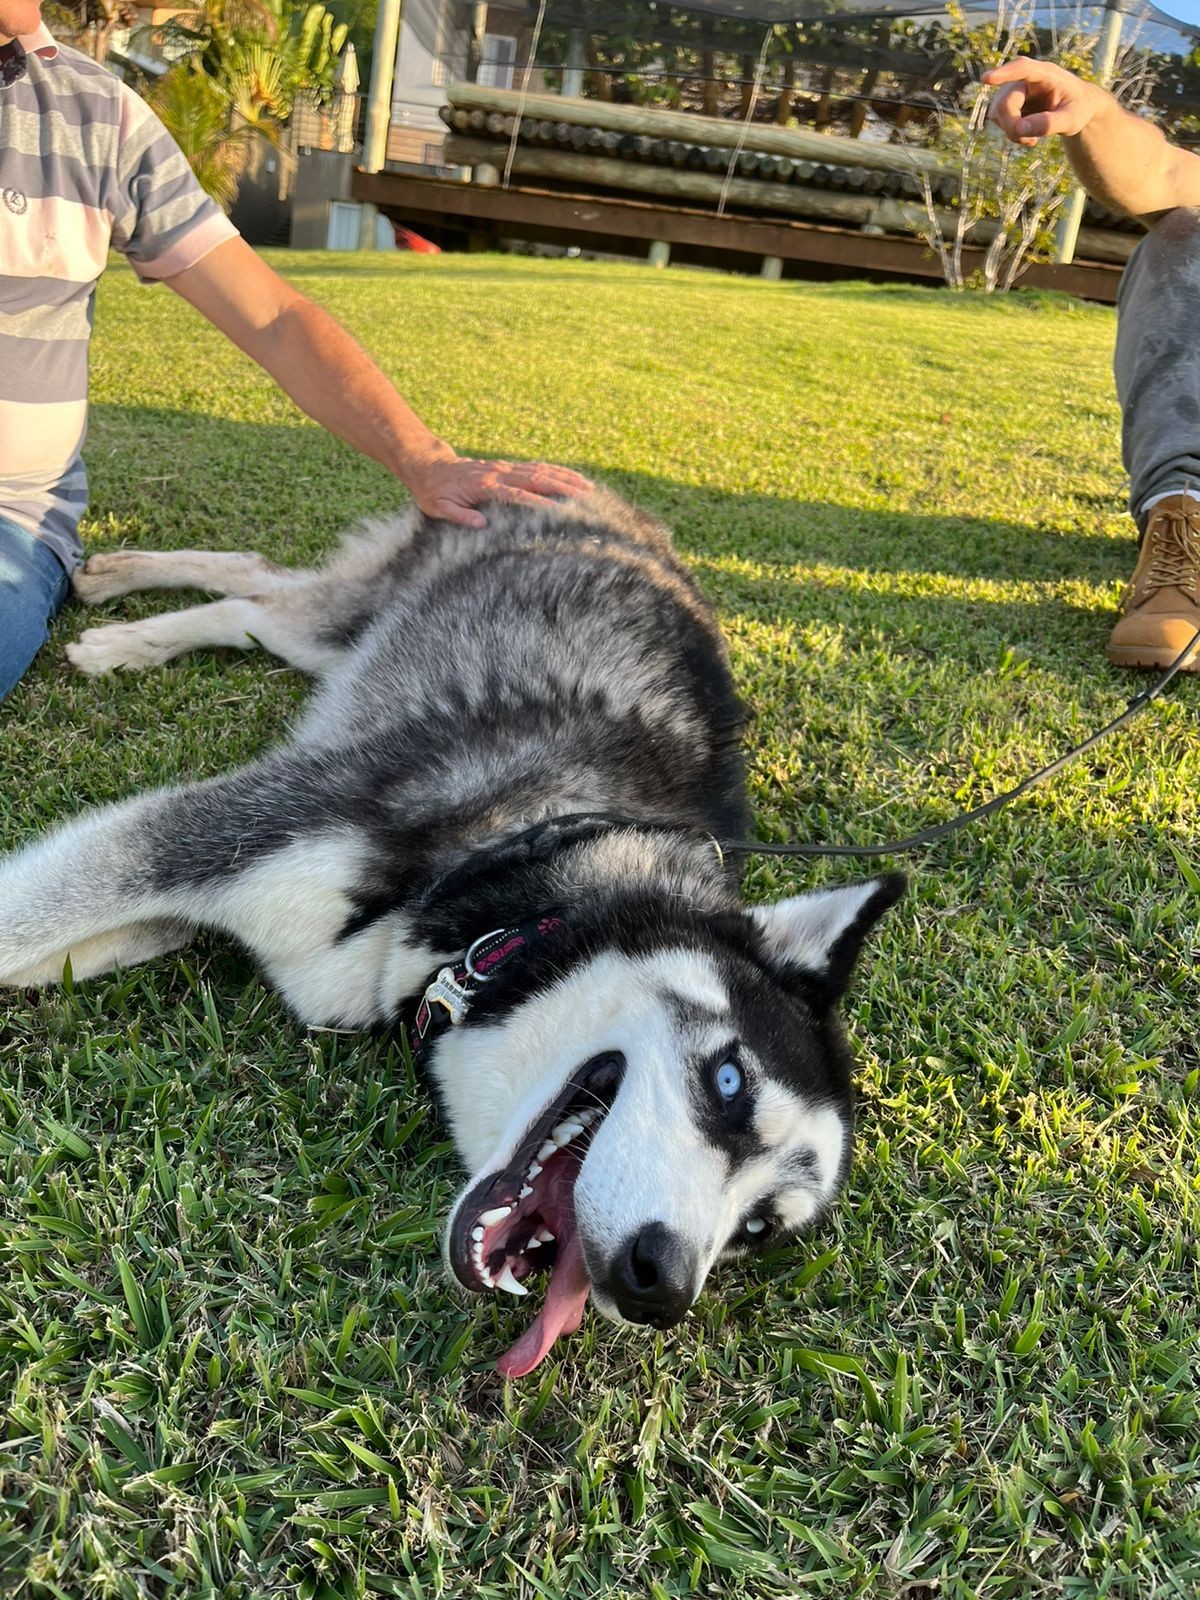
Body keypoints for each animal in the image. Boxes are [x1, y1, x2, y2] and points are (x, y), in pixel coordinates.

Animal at [0, 486, 902, 1376]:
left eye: (757, 1226)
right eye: (729, 1081)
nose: (661, 1287)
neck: (506, 907)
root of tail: (629, 514)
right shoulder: (221, 835)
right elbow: (28, 920)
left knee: (257, 596)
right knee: (264, 597)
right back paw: (119, 623)